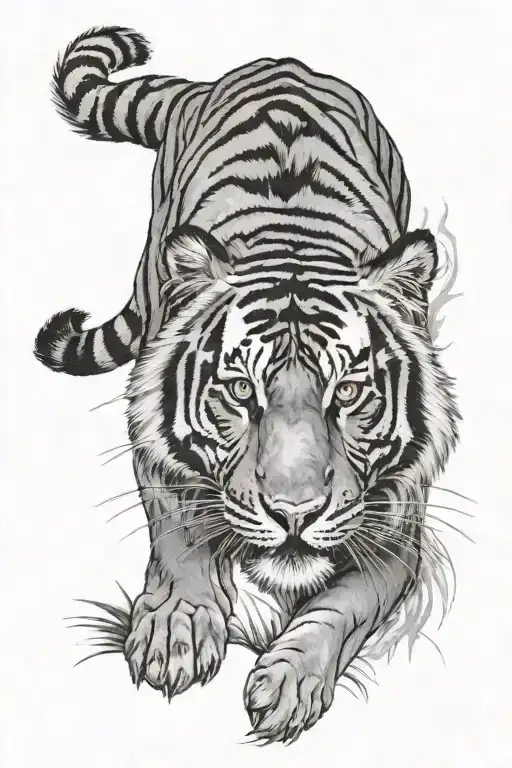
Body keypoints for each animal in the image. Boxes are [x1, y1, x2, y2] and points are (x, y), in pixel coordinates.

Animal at [34, 26, 460, 745]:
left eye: (348, 394)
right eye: (239, 391)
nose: (294, 514)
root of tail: (268, 64)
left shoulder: (397, 532)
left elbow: (343, 604)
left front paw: (291, 681)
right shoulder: (158, 454)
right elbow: (180, 531)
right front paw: (176, 630)